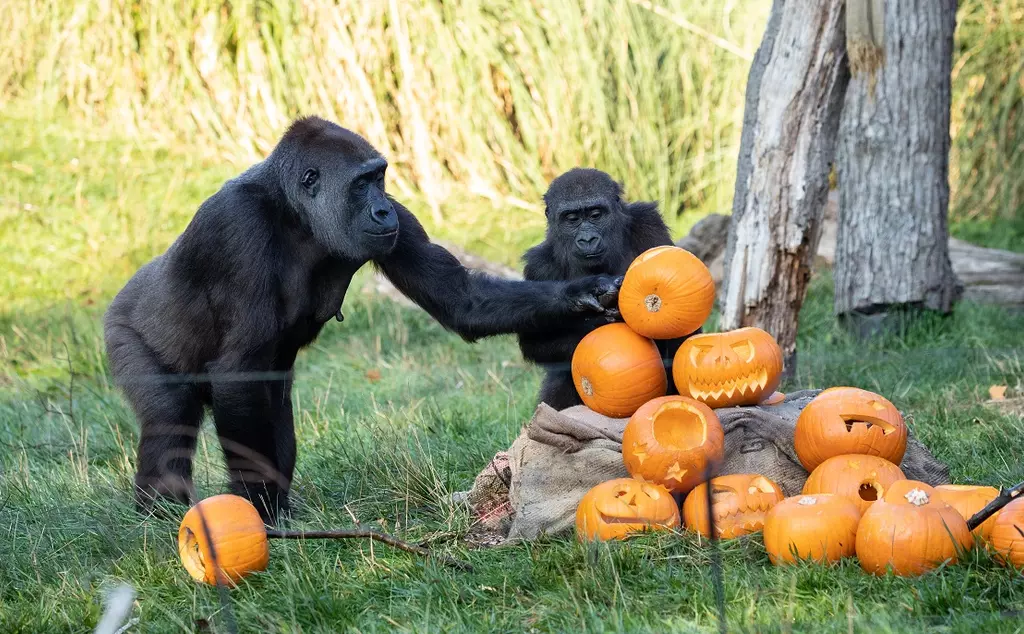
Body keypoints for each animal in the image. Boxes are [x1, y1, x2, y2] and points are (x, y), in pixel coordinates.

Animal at [105, 116, 614, 524]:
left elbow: (463, 300)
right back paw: (158, 516)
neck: (294, 211)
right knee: (170, 419)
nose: (383, 207)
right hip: (122, 331)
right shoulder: (237, 225)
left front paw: (585, 293)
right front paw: (259, 510)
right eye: (359, 183)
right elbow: (238, 370)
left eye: (379, 178)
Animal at [520, 165, 696, 409]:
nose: (587, 240)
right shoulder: (539, 266)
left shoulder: (648, 222)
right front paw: (599, 320)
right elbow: (534, 342)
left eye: (596, 215)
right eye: (571, 219)